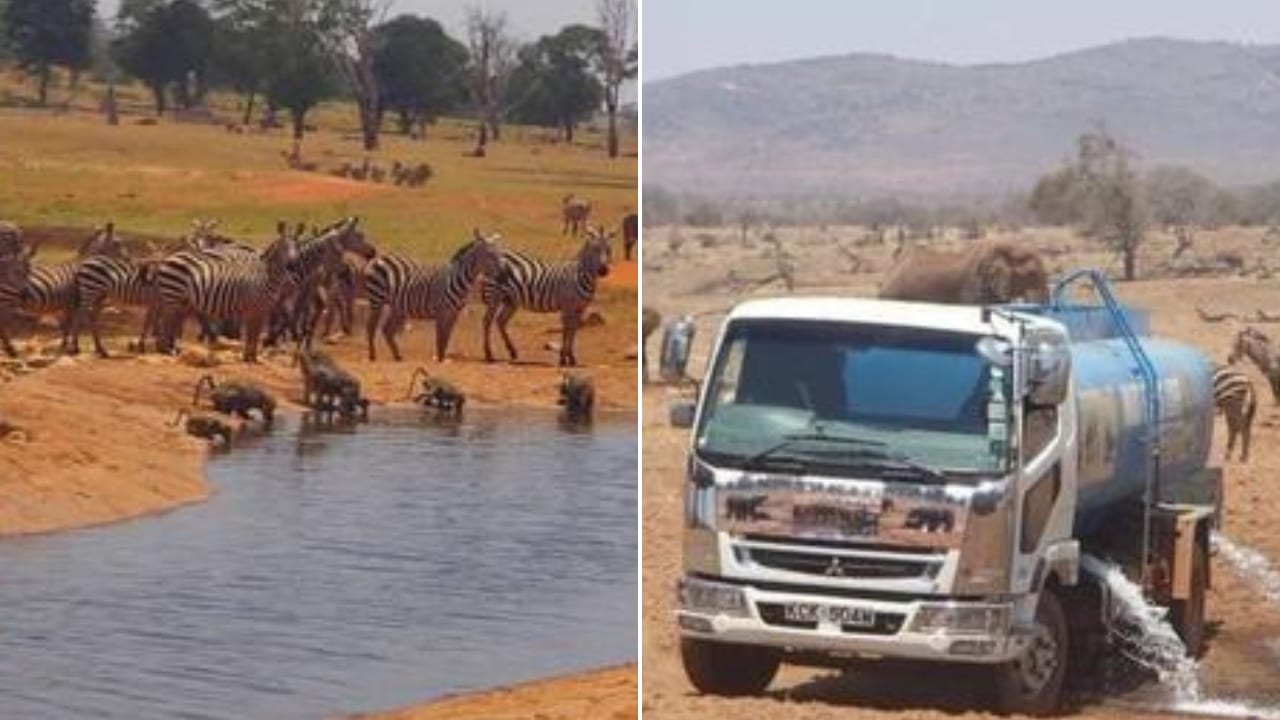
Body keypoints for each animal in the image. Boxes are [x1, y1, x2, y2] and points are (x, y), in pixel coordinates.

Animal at [152, 222, 299, 361]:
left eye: (297, 247)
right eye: (283, 247)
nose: (292, 265)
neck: (265, 275)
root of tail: (169, 257)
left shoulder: (262, 310)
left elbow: (255, 335)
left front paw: (252, 358)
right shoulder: (251, 307)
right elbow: (250, 335)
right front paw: (248, 357)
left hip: (182, 301)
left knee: (172, 322)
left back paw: (171, 348)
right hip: (173, 295)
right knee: (165, 322)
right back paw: (165, 350)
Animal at [366, 229, 504, 361]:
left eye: (499, 254)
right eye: (490, 254)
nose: (502, 276)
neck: (457, 279)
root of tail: (379, 258)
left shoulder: (454, 313)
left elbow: (447, 337)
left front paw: (442, 357)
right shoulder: (440, 311)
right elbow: (440, 338)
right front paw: (439, 358)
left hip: (397, 307)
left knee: (387, 330)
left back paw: (397, 356)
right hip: (376, 299)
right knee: (371, 327)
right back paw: (372, 356)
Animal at [483, 226, 614, 366]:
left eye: (609, 250)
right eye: (595, 249)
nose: (603, 270)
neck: (579, 275)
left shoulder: (580, 308)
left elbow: (573, 330)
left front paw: (571, 357)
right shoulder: (567, 306)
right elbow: (566, 330)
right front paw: (563, 358)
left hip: (510, 300)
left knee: (500, 320)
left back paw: (512, 352)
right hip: (494, 295)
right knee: (487, 321)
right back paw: (489, 355)